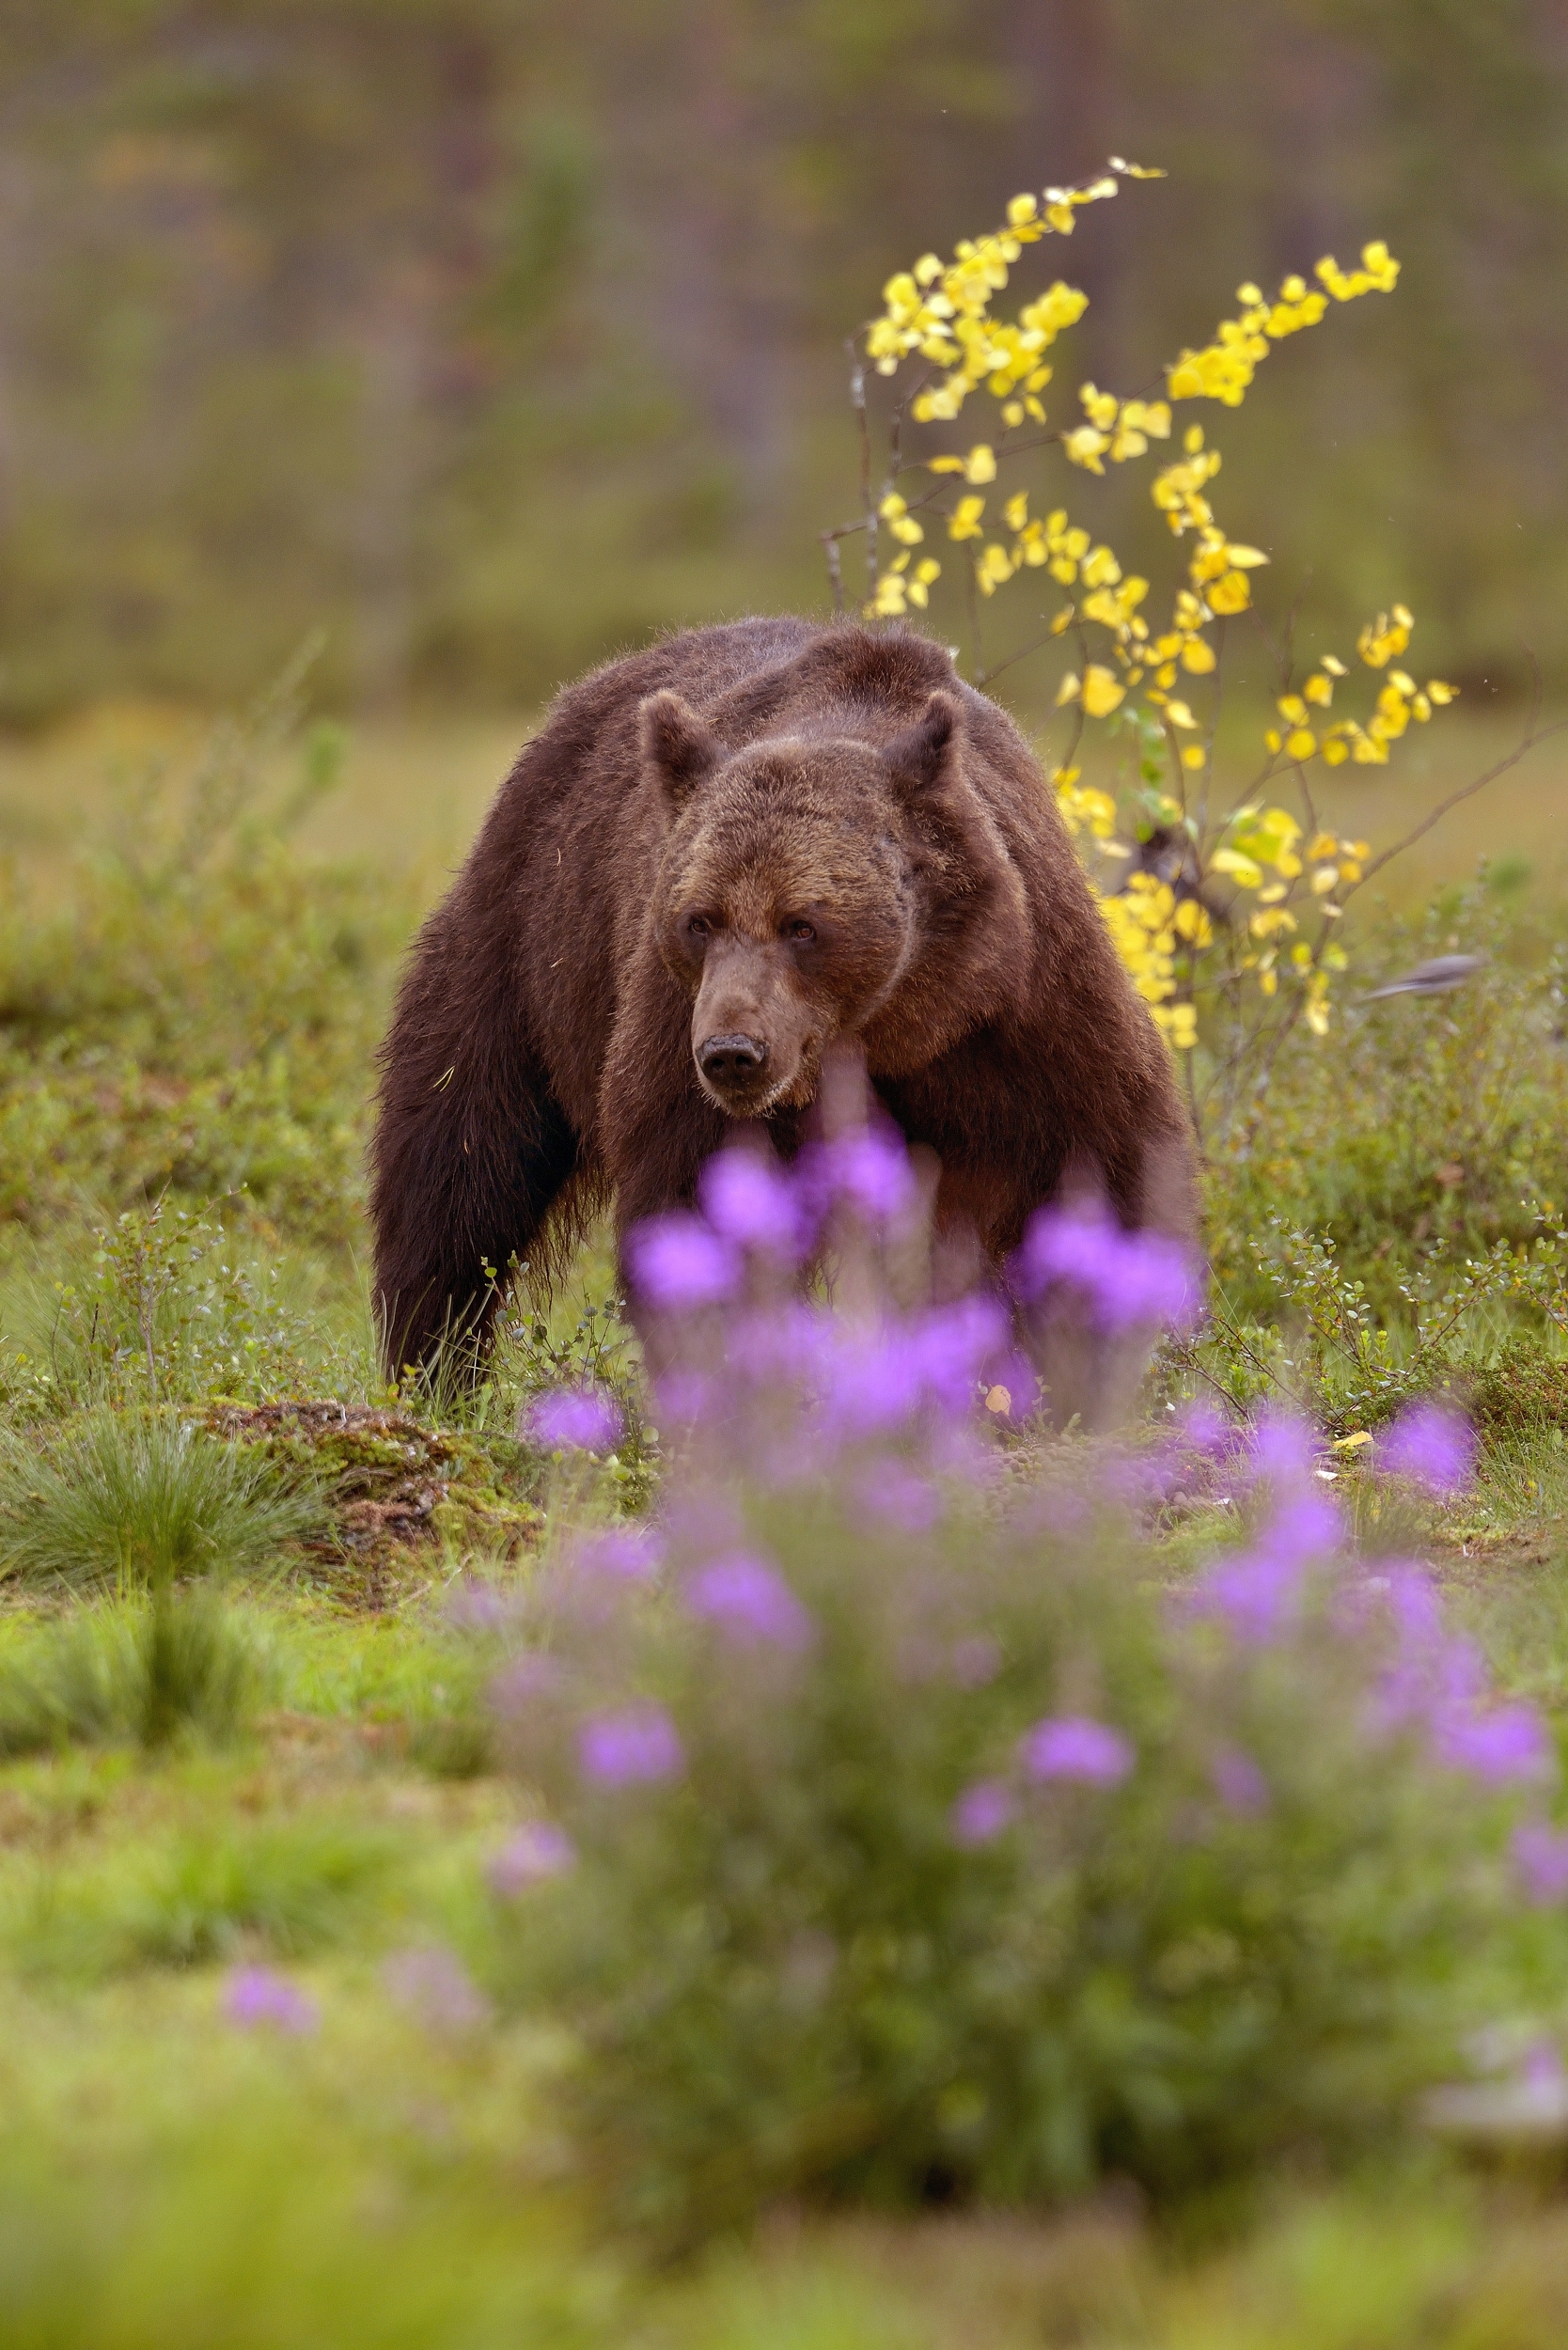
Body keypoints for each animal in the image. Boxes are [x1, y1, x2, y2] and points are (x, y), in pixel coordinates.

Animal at [370, 616, 1196, 1398]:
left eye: (802, 924)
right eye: (700, 919)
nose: (733, 1053)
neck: (888, 1024)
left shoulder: (1025, 1013)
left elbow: (1097, 1167)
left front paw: (1066, 1376)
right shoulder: (677, 1035)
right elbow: (703, 1213)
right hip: (532, 946)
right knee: (461, 1164)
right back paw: (433, 1374)